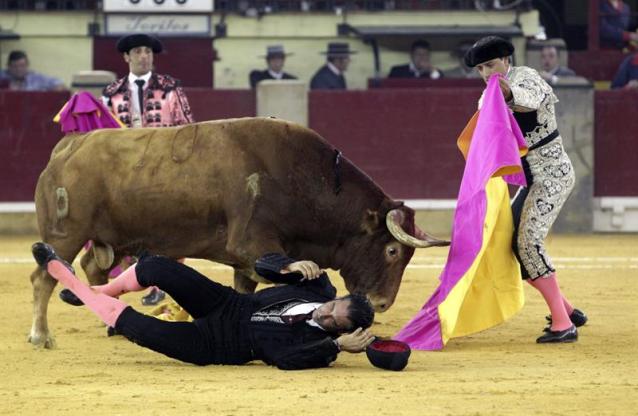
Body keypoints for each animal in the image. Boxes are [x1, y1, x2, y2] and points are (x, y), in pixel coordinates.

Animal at [28, 118, 450, 348]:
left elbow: (245, 290)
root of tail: (66, 148)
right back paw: (41, 336)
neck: (305, 180)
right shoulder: (252, 243)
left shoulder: (244, 261)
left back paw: (102, 321)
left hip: (105, 239)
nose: (381, 303)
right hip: (65, 234)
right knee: (44, 276)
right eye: (392, 251)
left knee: (92, 267)